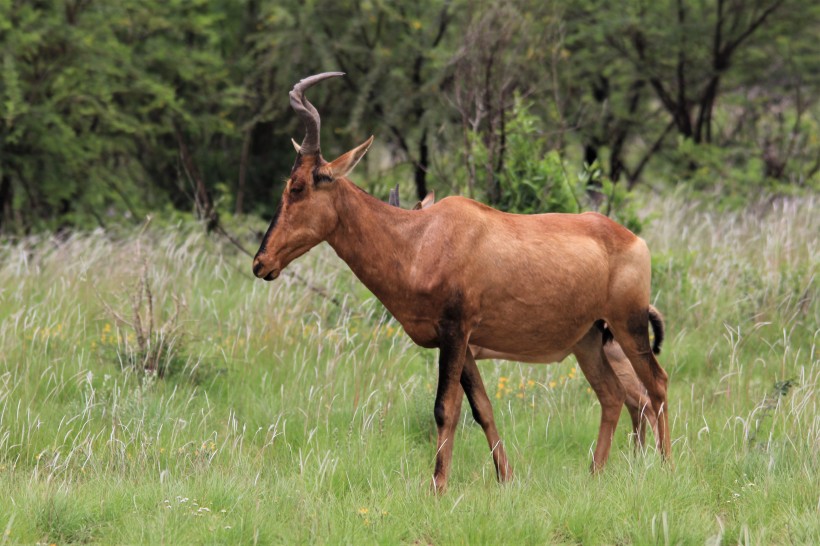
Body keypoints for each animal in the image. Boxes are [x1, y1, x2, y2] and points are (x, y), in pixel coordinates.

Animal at [251, 72, 672, 488]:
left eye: (298, 186)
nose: (260, 263)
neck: (421, 236)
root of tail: (633, 239)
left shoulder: (455, 331)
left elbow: (445, 408)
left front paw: (437, 486)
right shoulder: (461, 343)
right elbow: (482, 407)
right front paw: (505, 478)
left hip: (628, 326)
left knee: (656, 384)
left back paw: (666, 466)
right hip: (588, 339)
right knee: (613, 395)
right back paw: (595, 474)